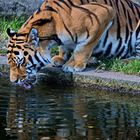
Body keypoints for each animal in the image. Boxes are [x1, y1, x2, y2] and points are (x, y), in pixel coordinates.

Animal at [6, 0, 140, 84]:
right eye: (10, 63)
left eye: (21, 63)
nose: (13, 81)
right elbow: (64, 47)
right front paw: (60, 58)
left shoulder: (104, 13)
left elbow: (83, 48)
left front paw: (73, 65)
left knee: (137, 59)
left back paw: (122, 61)